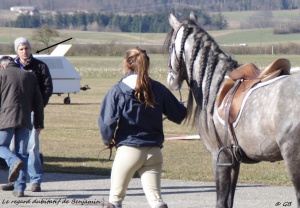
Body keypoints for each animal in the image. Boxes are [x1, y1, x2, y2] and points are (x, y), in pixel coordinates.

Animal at [165, 11, 300, 208]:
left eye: (170, 46)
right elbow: (229, 200)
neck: (215, 84)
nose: (170, 80)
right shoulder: (234, 161)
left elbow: (221, 201)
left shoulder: (220, 157)